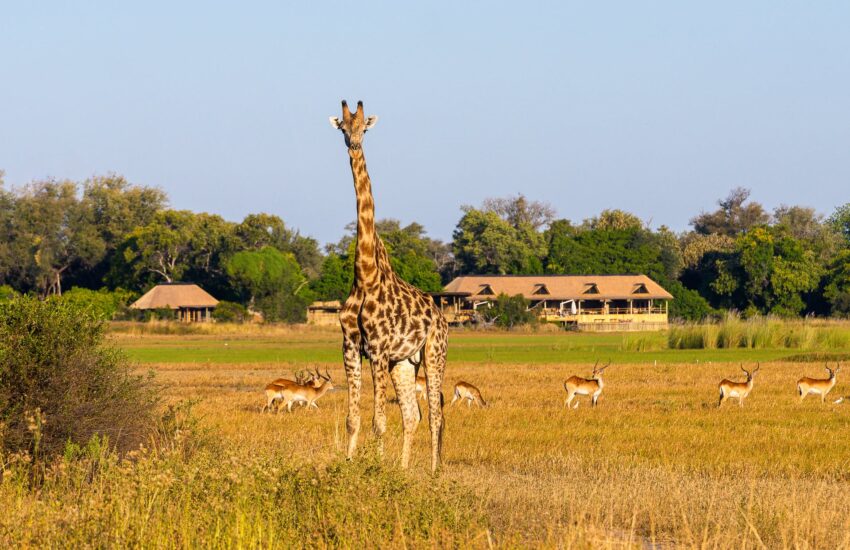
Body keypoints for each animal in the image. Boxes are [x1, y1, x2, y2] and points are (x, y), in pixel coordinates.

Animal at [329, 100, 448, 472]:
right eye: (343, 127)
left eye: (364, 128)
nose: (354, 145)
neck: (364, 274)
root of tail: (441, 316)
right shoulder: (351, 346)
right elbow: (353, 419)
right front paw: (351, 464)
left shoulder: (378, 349)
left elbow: (378, 422)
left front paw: (375, 469)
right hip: (405, 362)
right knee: (413, 415)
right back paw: (404, 468)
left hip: (434, 352)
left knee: (435, 415)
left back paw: (433, 470)